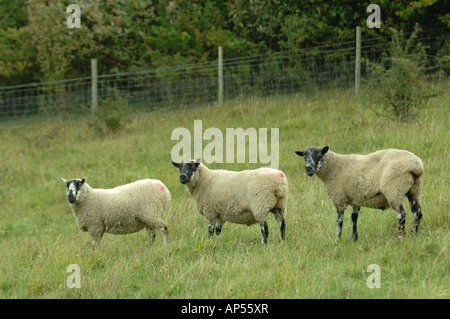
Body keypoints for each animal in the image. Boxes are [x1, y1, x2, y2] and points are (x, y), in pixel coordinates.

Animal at [294, 146, 424, 241]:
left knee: (401, 215)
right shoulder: (355, 199)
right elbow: (354, 218)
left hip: (394, 190)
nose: (308, 168)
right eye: (304, 155)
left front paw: (337, 240)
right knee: (417, 212)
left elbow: (339, 221)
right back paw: (414, 233)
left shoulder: (339, 198)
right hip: (415, 190)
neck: (334, 167)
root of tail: (416, 166)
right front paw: (354, 238)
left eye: (319, 154)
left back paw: (401, 236)